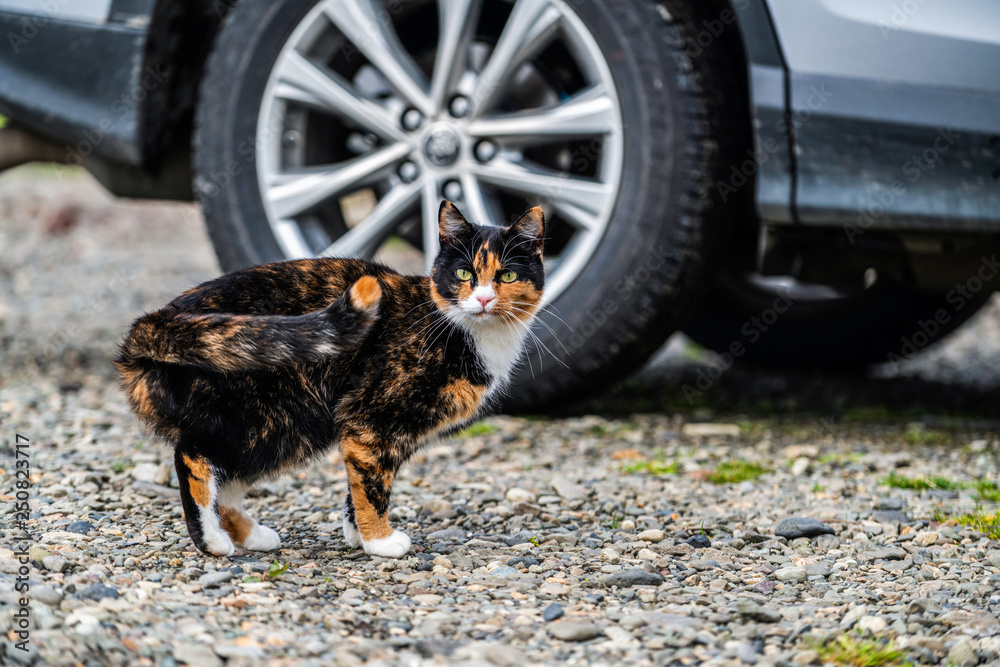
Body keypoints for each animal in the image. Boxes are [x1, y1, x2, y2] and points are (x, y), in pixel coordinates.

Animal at [115, 202, 548, 560]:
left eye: (508, 274)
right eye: (463, 273)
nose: (484, 299)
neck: (459, 329)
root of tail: (158, 321)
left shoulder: (383, 436)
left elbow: (364, 483)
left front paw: (358, 534)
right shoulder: (371, 418)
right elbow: (372, 486)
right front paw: (380, 541)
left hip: (281, 428)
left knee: (227, 478)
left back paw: (252, 535)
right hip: (275, 415)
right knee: (192, 456)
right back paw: (213, 541)